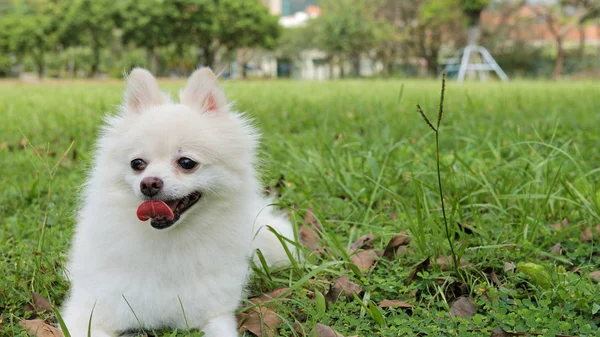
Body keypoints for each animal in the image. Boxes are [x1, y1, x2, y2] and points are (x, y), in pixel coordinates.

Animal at [61, 68, 296, 336]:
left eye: (186, 163)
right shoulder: (89, 314)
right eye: (137, 163)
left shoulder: (215, 314)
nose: (149, 183)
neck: (167, 244)